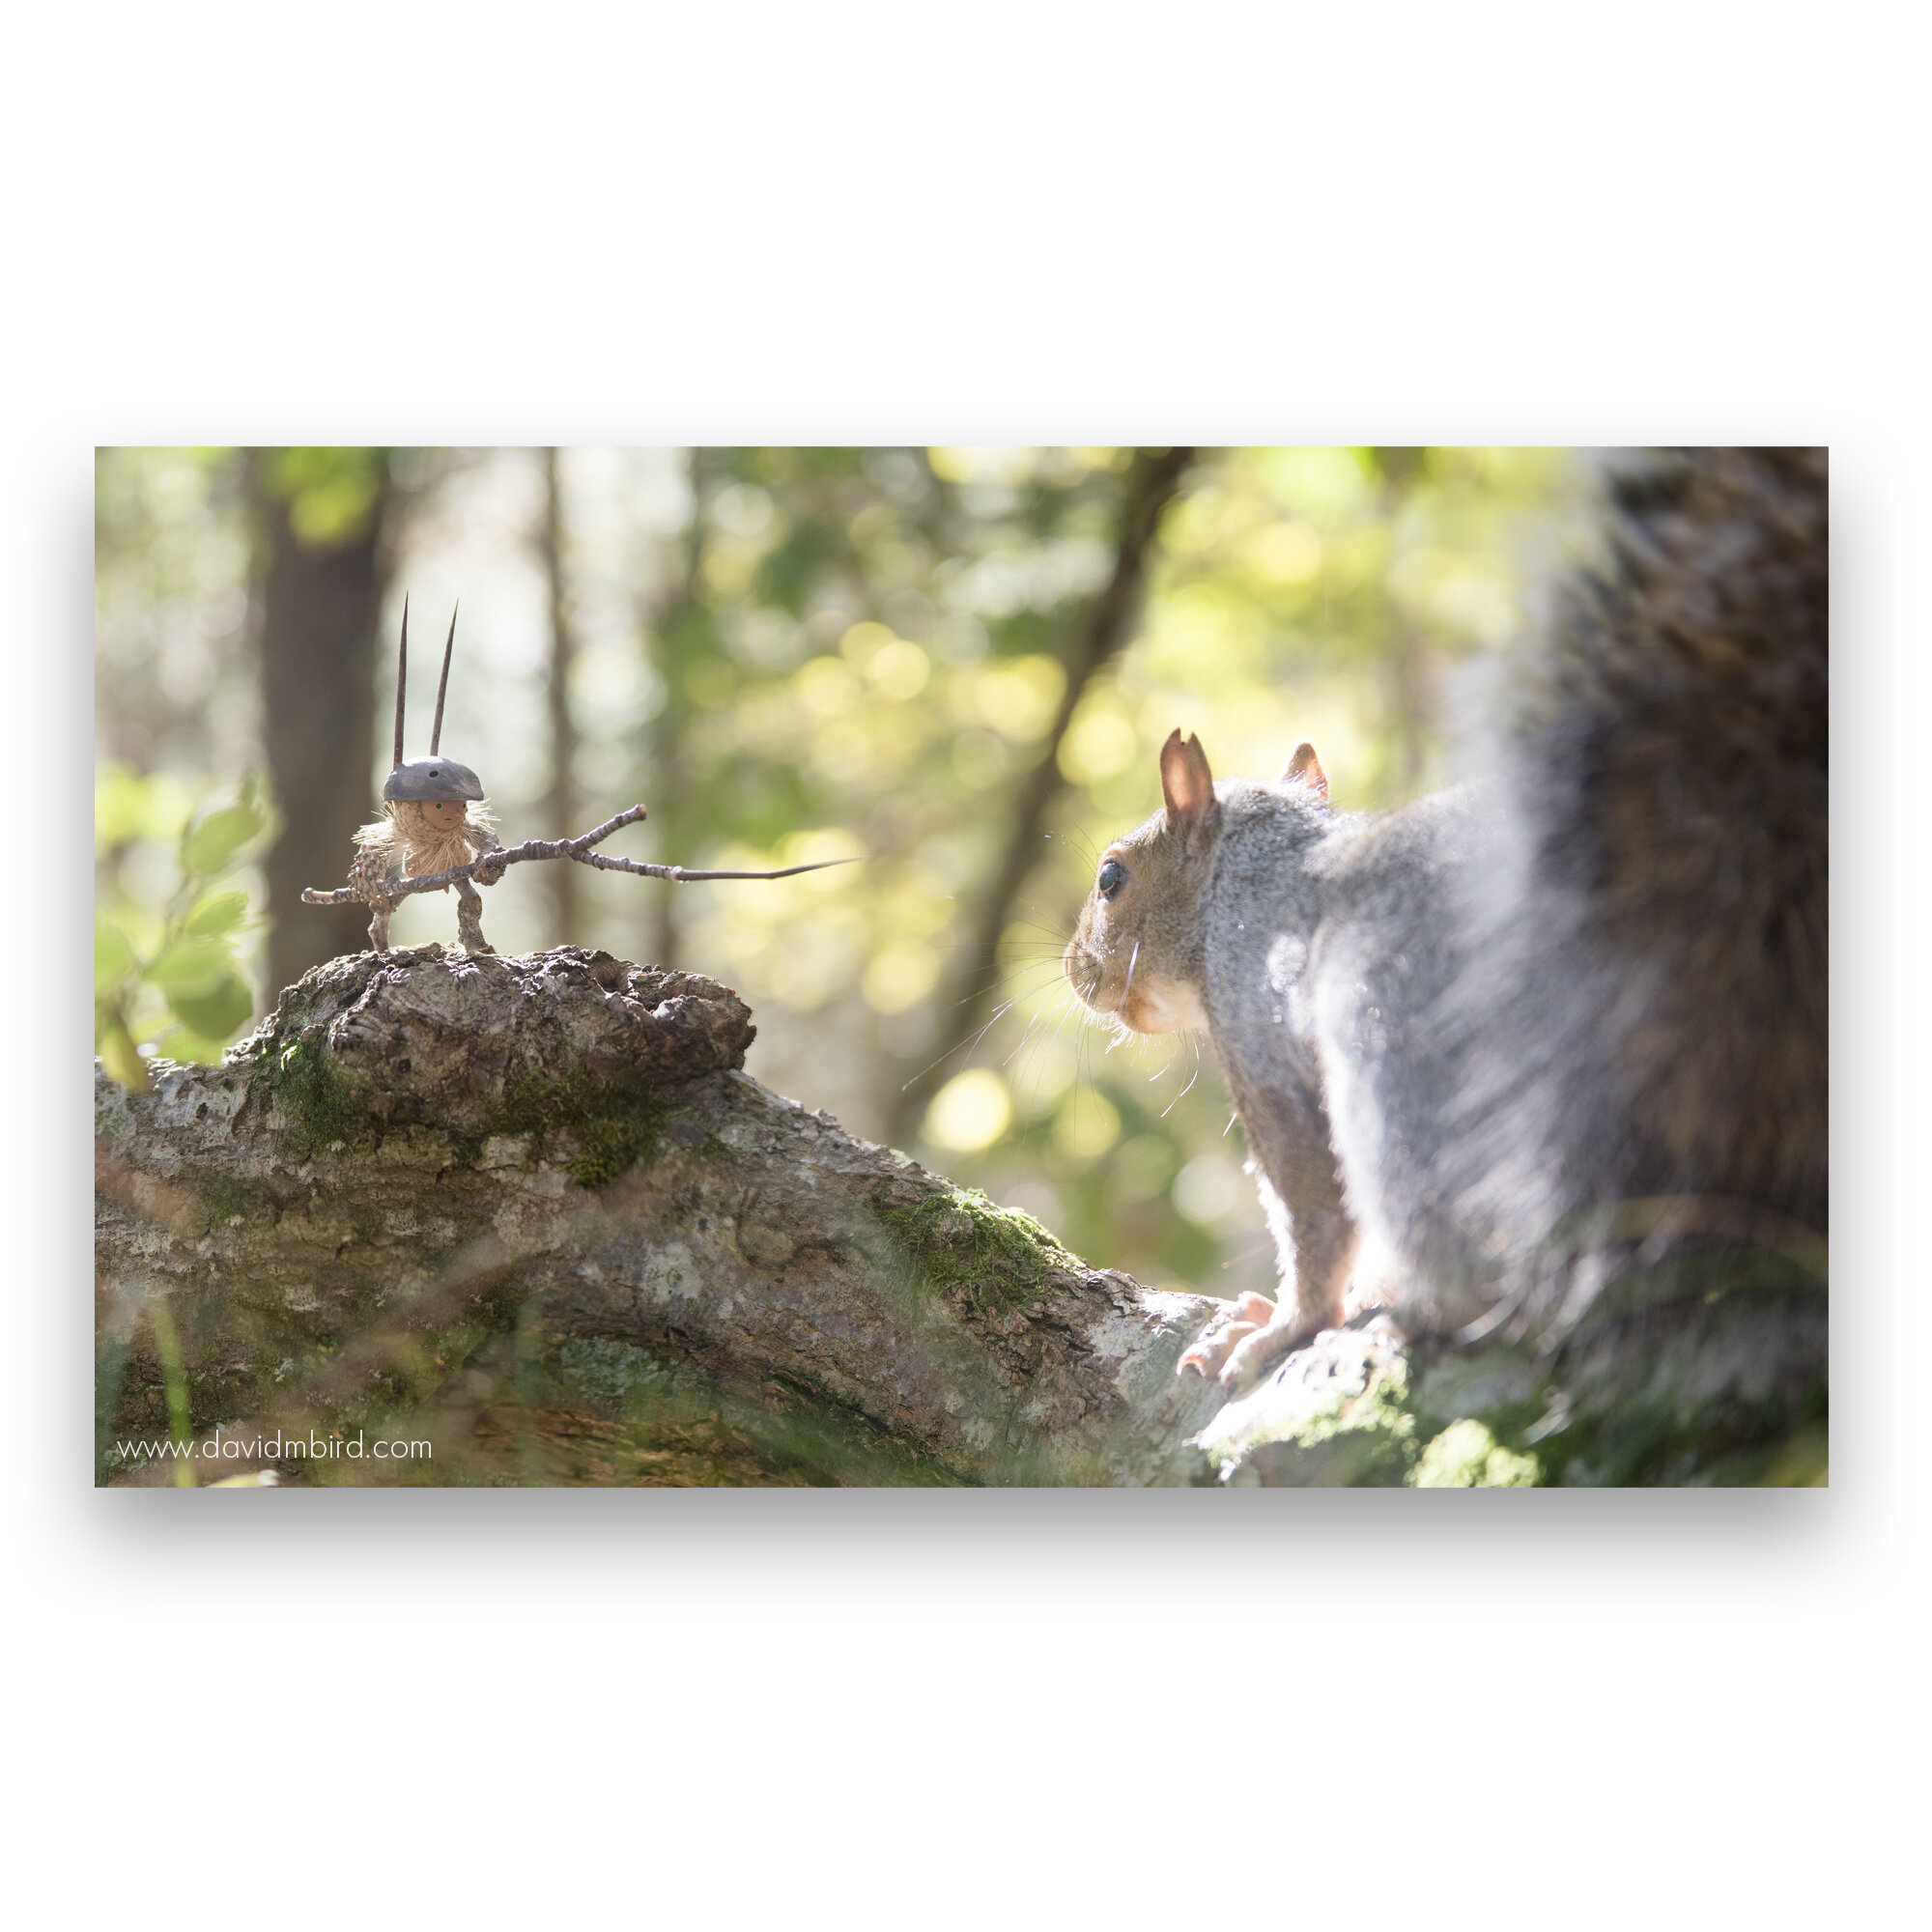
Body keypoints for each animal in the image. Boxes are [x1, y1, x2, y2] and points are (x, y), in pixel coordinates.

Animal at [1063, 448, 1828, 1388]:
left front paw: (1285, 1323)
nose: (1075, 971)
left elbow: (1310, 1204)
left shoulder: (1262, 1035)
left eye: (1111, 878)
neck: (1245, 878)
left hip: (1392, 1040)